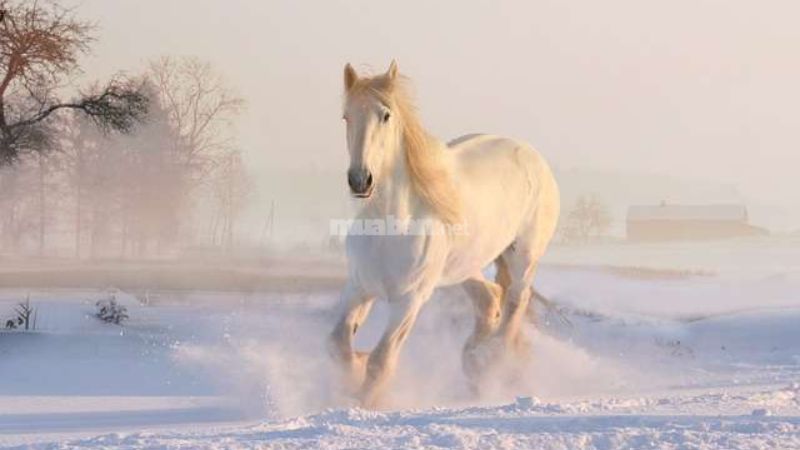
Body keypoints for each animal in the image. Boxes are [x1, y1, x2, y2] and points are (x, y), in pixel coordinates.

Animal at [328, 60, 560, 408]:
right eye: (346, 116)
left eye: (386, 115)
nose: (360, 180)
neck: (390, 227)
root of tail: (531, 154)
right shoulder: (359, 288)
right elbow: (339, 344)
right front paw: (354, 372)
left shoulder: (409, 300)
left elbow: (381, 361)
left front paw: (365, 402)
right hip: (464, 266)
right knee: (490, 298)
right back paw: (474, 361)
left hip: (524, 257)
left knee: (516, 302)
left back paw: (491, 360)